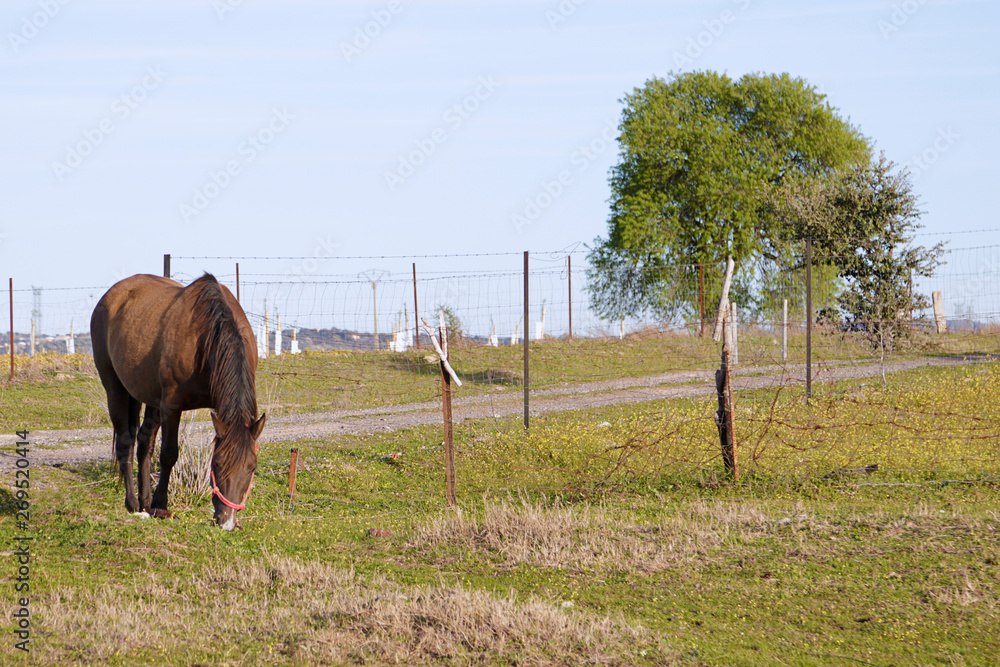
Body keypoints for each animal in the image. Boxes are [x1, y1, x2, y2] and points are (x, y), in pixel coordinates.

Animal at [90, 273, 266, 531]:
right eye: (217, 464)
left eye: (252, 467)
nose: (226, 522)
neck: (206, 339)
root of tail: (110, 296)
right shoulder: (171, 406)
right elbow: (168, 454)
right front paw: (161, 505)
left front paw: (155, 504)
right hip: (115, 388)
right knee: (125, 441)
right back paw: (133, 503)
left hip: (149, 397)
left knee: (144, 442)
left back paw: (145, 502)